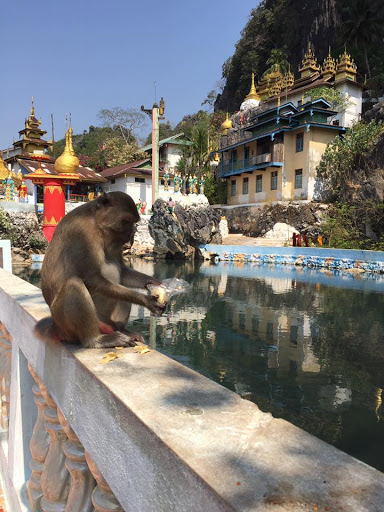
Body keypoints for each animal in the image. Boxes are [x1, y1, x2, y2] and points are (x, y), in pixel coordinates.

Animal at [35, 192, 166, 348]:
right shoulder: (82, 232)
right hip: (66, 325)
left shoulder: (114, 242)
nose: (131, 234)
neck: (96, 222)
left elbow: (122, 271)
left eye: (134, 222)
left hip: (104, 319)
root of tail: (56, 327)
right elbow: (92, 278)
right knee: (74, 284)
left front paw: (152, 282)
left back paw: (122, 330)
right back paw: (95, 340)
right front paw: (146, 300)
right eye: (126, 221)